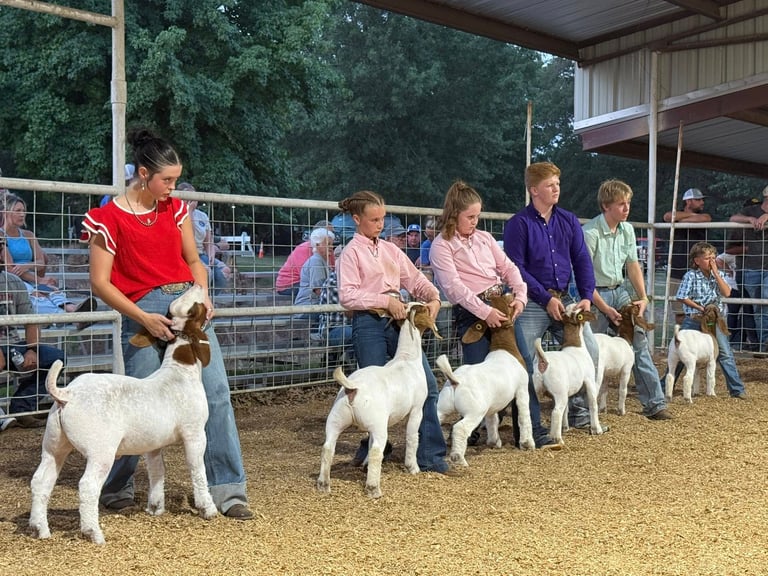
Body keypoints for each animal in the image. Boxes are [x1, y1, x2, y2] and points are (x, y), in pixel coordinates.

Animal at [29, 284, 217, 545]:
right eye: (194, 310)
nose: (199, 285)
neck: (180, 371)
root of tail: (67, 394)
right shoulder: (195, 433)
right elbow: (197, 469)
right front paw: (207, 508)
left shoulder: (153, 443)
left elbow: (157, 470)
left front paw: (155, 507)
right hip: (100, 449)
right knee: (87, 486)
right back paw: (93, 532)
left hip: (54, 443)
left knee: (41, 480)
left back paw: (41, 529)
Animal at [316, 302, 441, 499]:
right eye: (425, 309)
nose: (432, 306)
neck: (407, 358)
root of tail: (354, 387)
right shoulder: (416, 409)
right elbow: (412, 437)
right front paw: (413, 467)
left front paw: (365, 465)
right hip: (378, 423)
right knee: (376, 451)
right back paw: (374, 489)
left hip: (336, 419)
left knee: (328, 447)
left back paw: (323, 484)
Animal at [435, 293, 534, 467]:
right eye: (507, 302)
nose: (512, 294)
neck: (505, 348)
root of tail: (456, 381)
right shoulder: (522, 390)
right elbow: (524, 416)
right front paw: (527, 443)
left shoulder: (492, 405)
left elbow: (492, 420)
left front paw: (494, 442)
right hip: (474, 411)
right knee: (460, 428)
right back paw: (458, 458)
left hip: (443, 406)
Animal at [533, 303, 605, 444]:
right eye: (578, 312)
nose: (576, 303)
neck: (576, 346)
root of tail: (544, 361)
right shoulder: (589, 381)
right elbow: (593, 405)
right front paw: (597, 429)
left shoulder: (568, 391)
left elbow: (566, 410)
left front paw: (565, 427)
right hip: (559, 391)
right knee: (556, 412)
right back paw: (557, 439)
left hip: (535, 388)